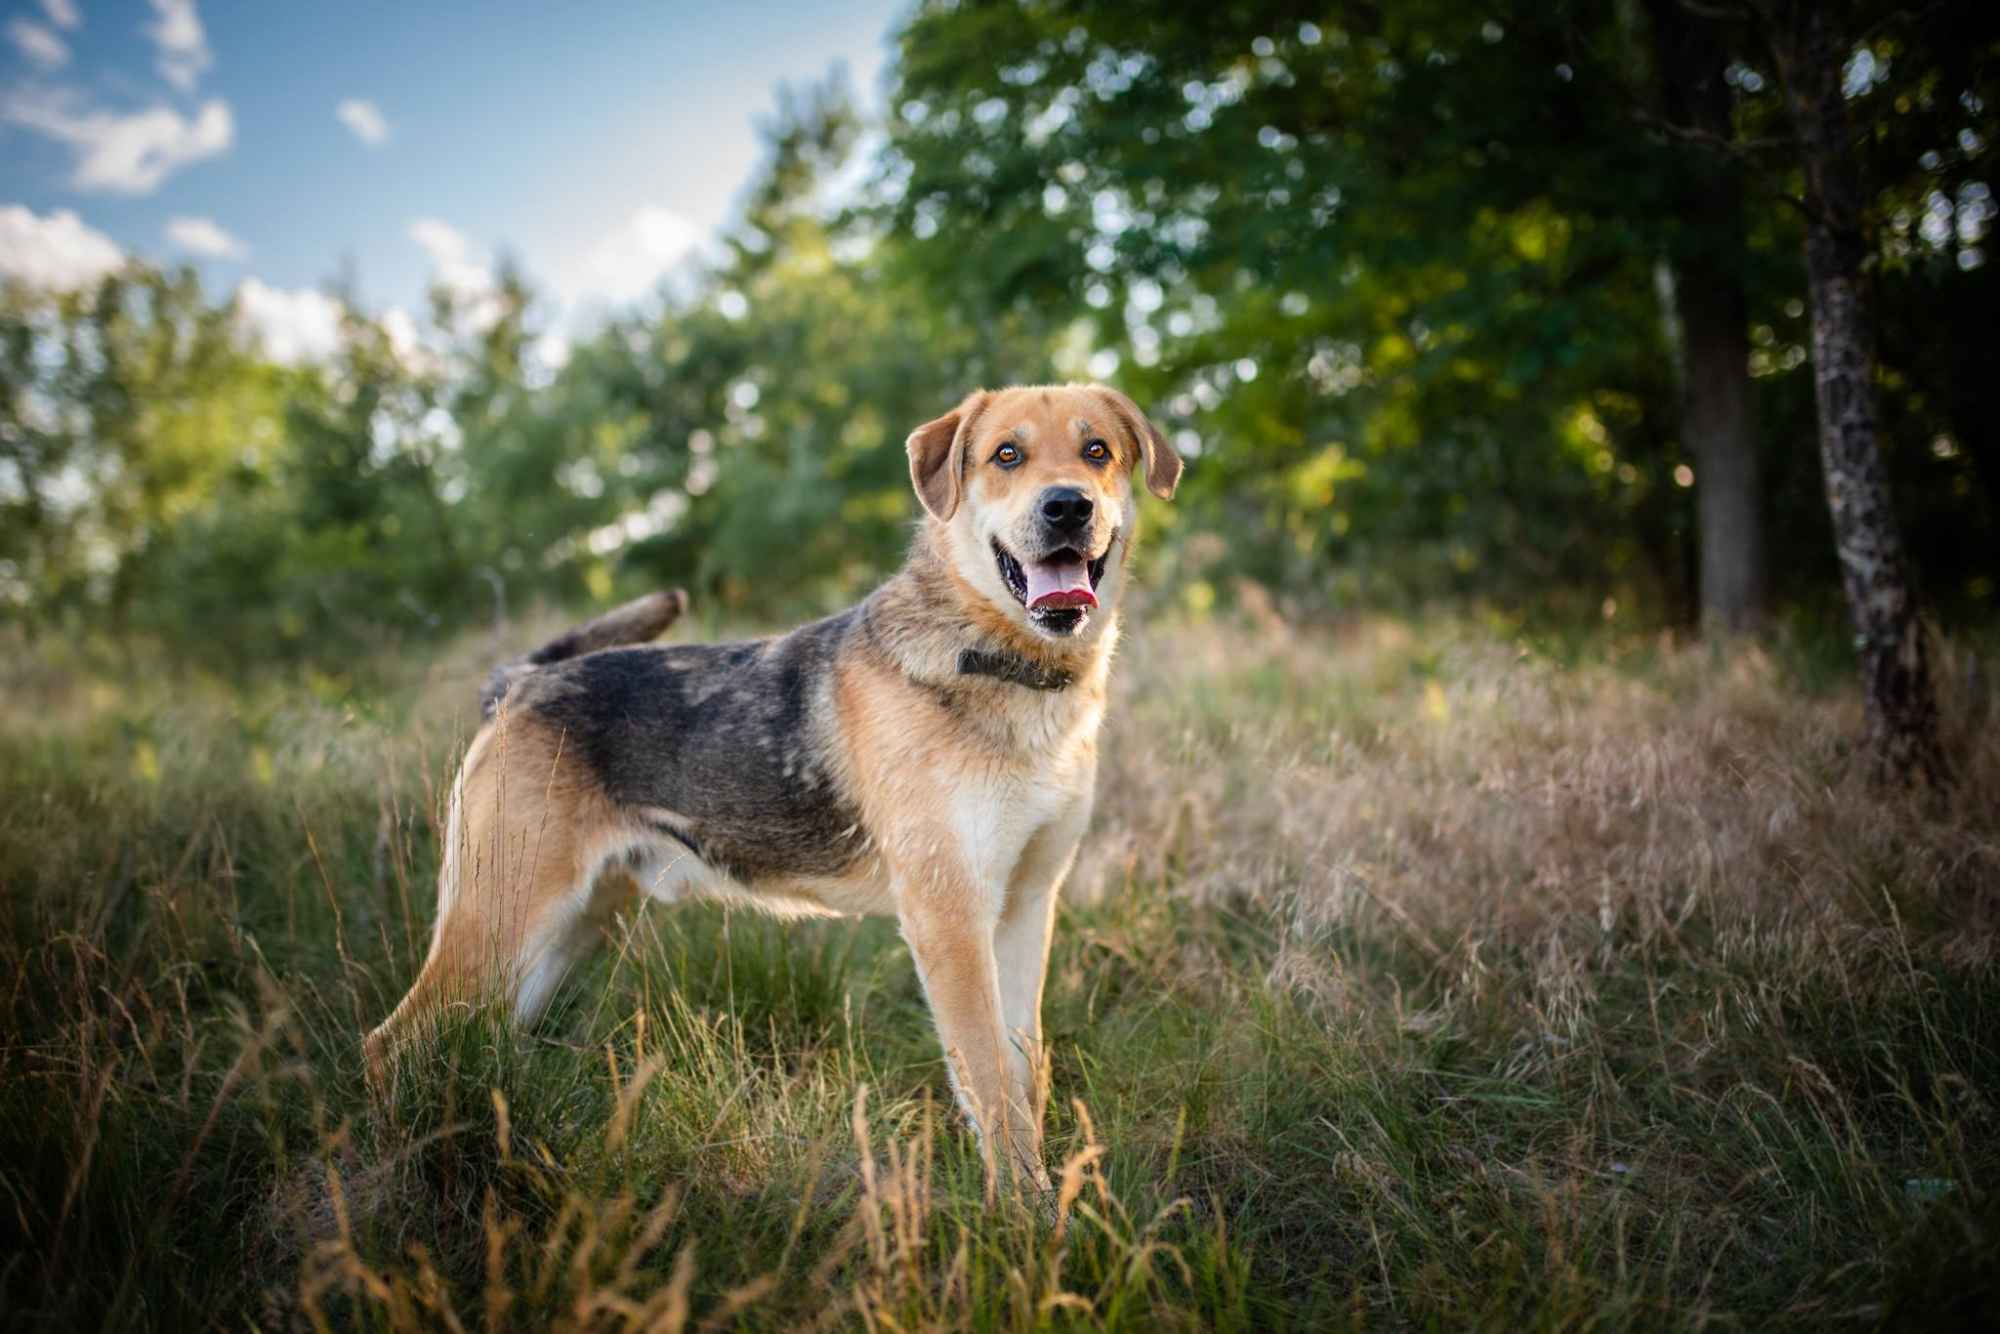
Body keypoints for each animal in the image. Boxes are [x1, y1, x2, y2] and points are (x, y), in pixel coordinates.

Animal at [368, 384, 1176, 1192]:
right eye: (1007, 454)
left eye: (1097, 451)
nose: (1068, 506)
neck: (1006, 664)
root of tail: (519, 682)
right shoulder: (949, 916)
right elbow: (989, 1080)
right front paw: (1019, 1208)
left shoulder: (1025, 907)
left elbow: (1022, 1073)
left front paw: (1046, 1196)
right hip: (499, 920)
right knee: (388, 1045)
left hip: (563, 932)